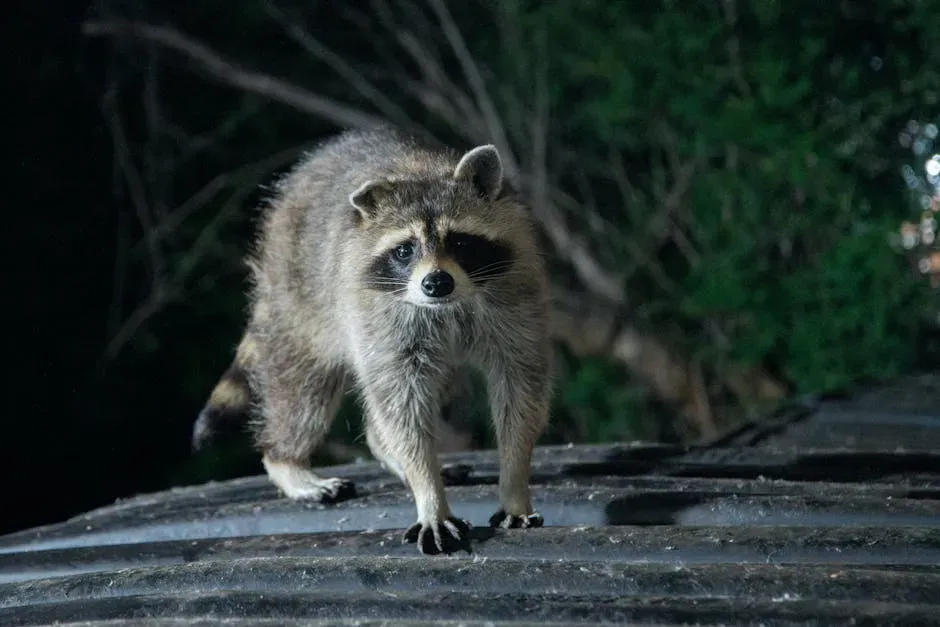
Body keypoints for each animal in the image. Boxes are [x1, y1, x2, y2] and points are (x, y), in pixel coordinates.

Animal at [194, 127, 553, 555]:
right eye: (404, 250)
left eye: (460, 242)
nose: (436, 283)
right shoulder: (382, 315)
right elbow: (401, 405)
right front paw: (429, 495)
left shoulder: (516, 295)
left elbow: (520, 387)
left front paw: (513, 484)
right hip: (300, 291)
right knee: (304, 390)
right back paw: (287, 460)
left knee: (440, 388)